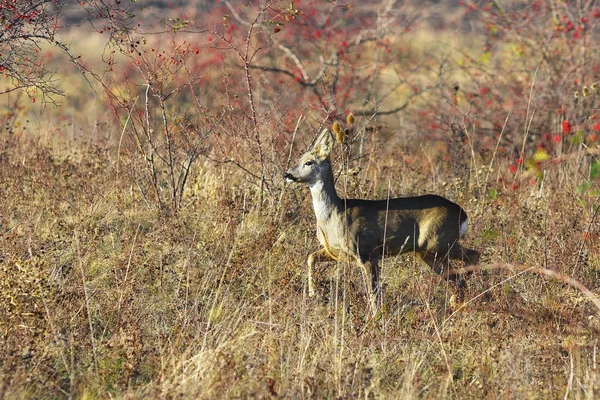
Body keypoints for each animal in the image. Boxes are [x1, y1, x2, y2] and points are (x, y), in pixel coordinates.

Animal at [284, 130, 480, 314]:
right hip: (428, 253)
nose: (288, 174)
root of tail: (462, 214)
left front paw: (375, 318)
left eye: (309, 162)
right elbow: (311, 257)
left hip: (438, 242)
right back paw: (458, 302)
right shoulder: (336, 252)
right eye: (299, 158)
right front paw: (312, 292)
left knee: (473, 255)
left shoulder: (367, 251)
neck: (334, 215)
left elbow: (373, 291)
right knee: (456, 276)